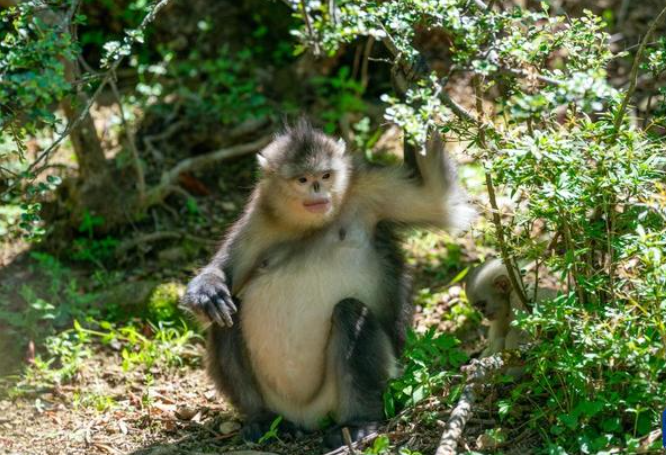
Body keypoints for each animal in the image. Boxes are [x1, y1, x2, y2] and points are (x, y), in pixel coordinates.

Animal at [180, 119, 472, 450]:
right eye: (303, 179)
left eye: (326, 176)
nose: (317, 189)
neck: (308, 226)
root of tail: (305, 417)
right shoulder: (259, 219)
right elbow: (224, 276)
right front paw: (207, 290)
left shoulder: (369, 189)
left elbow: (437, 199)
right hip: (276, 398)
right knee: (227, 317)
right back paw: (263, 419)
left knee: (349, 311)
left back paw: (357, 423)